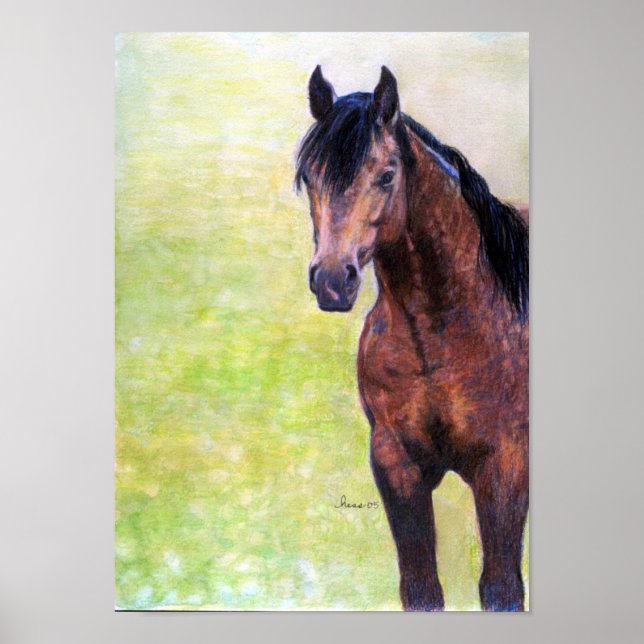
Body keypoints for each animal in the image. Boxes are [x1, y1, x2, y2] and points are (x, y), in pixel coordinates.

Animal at [294, 65, 529, 612]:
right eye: (309, 177)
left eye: (386, 175)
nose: (332, 281)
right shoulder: (396, 465)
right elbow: (421, 588)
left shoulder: (505, 469)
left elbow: (502, 588)